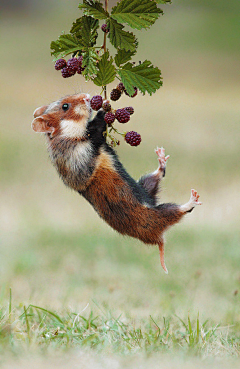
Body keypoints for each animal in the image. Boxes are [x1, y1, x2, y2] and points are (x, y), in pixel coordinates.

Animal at [31, 93, 201, 272]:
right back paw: (193, 198)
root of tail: (158, 240)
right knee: (180, 211)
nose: (87, 96)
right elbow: (96, 131)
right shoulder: (81, 156)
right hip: (156, 216)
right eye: (65, 106)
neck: (65, 135)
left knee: (158, 175)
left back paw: (161, 156)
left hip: (144, 185)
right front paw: (102, 109)